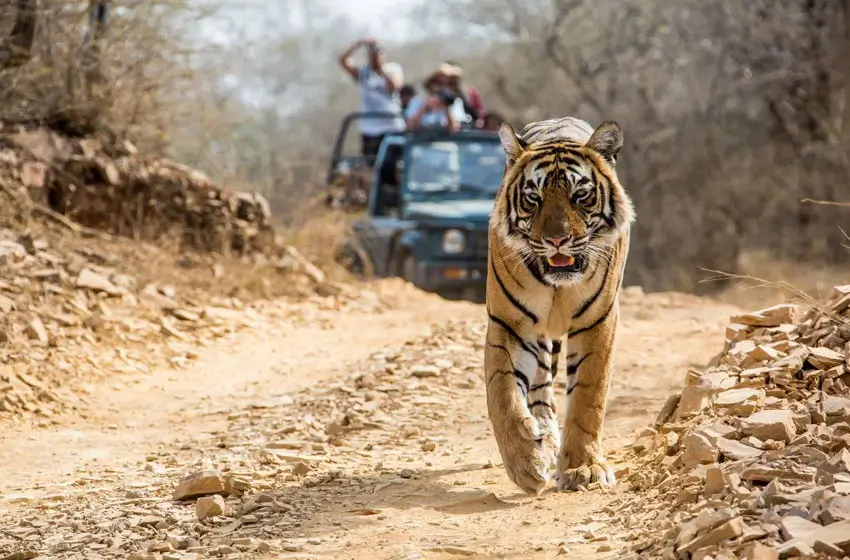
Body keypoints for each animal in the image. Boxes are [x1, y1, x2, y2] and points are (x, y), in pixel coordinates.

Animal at [485, 116, 635, 494]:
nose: (557, 240)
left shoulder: (598, 322)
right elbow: (502, 394)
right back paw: (545, 439)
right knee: (539, 390)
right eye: (533, 198)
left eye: (580, 195)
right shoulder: (509, 324)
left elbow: (587, 397)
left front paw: (584, 469)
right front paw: (526, 463)